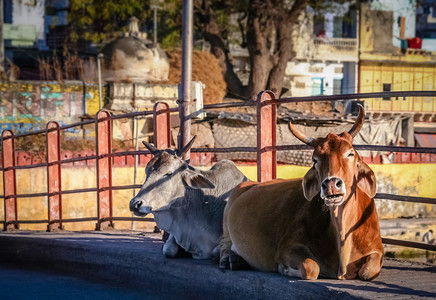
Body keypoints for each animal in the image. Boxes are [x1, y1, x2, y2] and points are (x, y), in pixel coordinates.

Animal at [220, 104, 384, 280]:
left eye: (350, 153)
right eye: (315, 159)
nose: (331, 184)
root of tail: (250, 183)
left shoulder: (377, 249)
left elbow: (367, 271)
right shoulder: (287, 247)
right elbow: (312, 268)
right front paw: (284, 269)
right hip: (228, 216)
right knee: (224, 246)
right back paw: (230, 260)